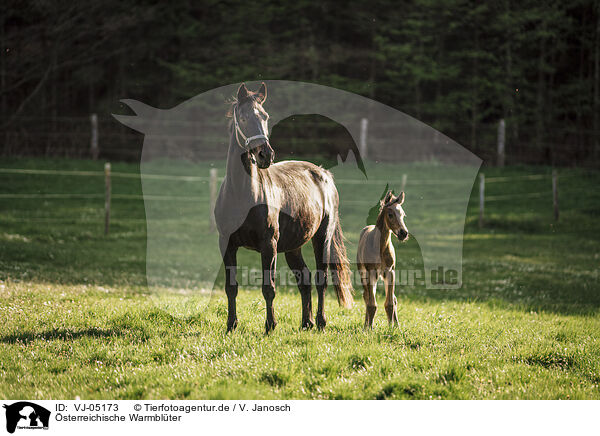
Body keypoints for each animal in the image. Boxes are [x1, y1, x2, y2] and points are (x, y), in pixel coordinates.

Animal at [214, 82, 352, 334]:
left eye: (265, 116)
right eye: (244, 117)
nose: (265, 155)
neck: (241, 193)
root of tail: (324, 173)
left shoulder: (269, 244)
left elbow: (269, 287)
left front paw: (270, 327)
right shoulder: (226, 244)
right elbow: (231, 287)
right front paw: (231, 326)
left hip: (322, 238)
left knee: (321, 279)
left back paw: (320, 322)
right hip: (293, 246)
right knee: (305, 279)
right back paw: (306, 322)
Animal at [356, 189, 408, 328]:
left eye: (403, 215)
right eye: (390, 214)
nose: (403, 233)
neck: (380, 247)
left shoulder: (390, 271)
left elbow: (390, 303)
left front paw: (392, 327)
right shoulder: (370, 273)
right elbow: (372, 304)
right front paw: (369, 328)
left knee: (393, 299)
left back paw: (396, 324)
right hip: (364, 274)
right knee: (366, 296)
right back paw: (366, 325)